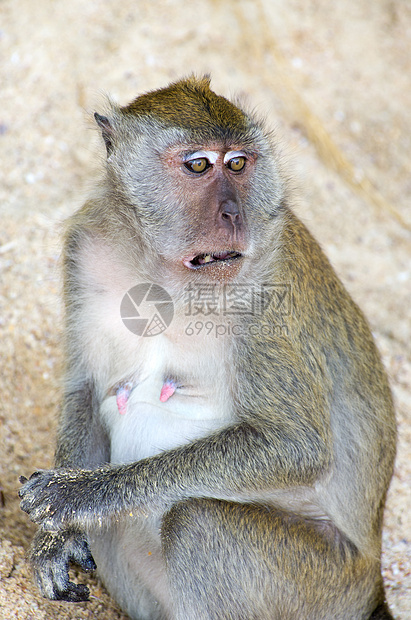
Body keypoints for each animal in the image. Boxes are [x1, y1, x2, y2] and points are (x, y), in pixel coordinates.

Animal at [18, 75, 396, 616]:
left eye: (237, 163)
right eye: (198, 165)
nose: (233, 212)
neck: (168, 275)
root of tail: (371, 584)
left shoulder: (269, 292)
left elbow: (295, 444)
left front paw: (80, 494)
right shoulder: (84, 251)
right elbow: (85, 391)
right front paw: (56, 540)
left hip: (319, 581)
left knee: (196, 523)